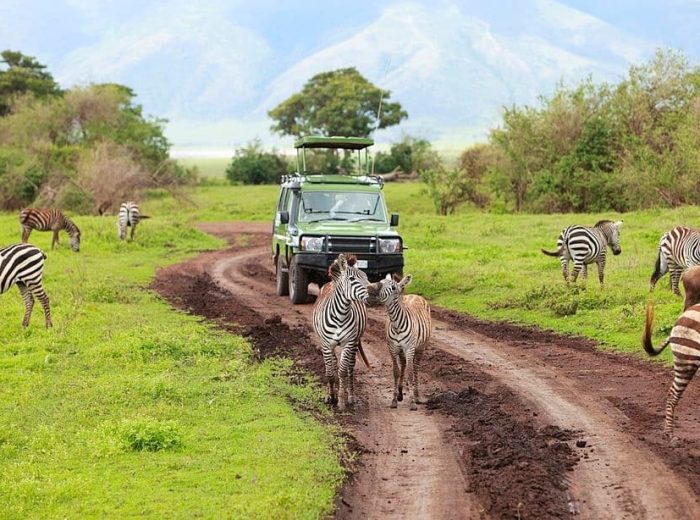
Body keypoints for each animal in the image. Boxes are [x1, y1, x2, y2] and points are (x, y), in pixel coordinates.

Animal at [312, 254, 369, 411]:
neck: (340, 315)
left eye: (366, 277)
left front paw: (341, 401)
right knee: (332, 364)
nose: (373, 291)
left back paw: (351, 397)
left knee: (350, 367)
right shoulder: (326, 344)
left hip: (355, 342)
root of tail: (332, 282)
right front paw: (331, 396)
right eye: (352, 279)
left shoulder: (348, 343)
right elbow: (330, 372)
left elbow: (342, 371)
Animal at [367, 274, 431, 410]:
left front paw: (412, 402)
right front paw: (394, 400)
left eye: (392, 287)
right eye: (380, 281)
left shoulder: (409, 348)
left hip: (420, 348)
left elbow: (410, 373)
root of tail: (415, 295)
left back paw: (416, 396)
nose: (370, 289)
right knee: (403, 364)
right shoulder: (392, 348)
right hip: (402, 351)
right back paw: (401, 393)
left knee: (415, 368)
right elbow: (396, 372)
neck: (396, 324)